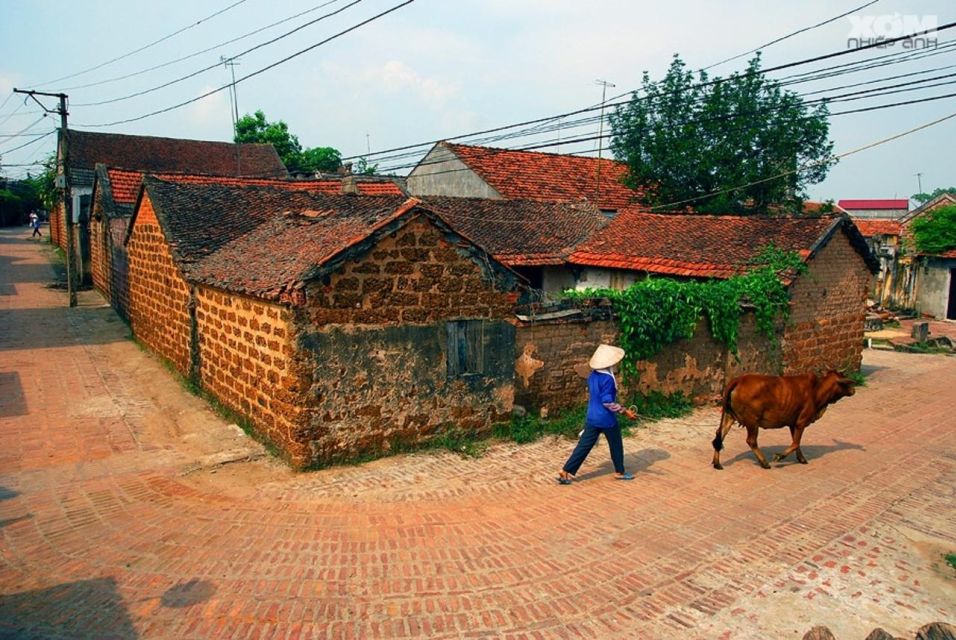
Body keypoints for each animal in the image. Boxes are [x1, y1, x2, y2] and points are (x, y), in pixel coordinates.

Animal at [708, 370, 860, 470]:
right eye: (845, 383)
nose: (853, 390)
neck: (817, 390)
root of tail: (738, 380)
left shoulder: (793, 423)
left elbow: (796, 443)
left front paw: (801, 459)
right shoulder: (801, 422)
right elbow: (795, 443)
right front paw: (779, 456)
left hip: (729, 416)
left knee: (719, 436)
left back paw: (717, 463)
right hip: (752, 421)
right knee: (751, 441)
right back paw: (764, 463)